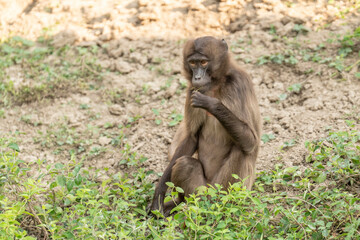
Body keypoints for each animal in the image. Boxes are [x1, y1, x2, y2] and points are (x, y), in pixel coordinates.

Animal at [148, 36, 260, 218]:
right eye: (193, 63)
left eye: (203, 62)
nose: (198, 78)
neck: (216, 84)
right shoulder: (191, 90)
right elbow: (192, 137)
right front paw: (159, 193)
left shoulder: (238, 84)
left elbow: (251, 141)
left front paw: (212, 105)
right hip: (201, 190)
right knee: (185, 165)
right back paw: (183, 204)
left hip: (223, 190)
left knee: (241, 148)